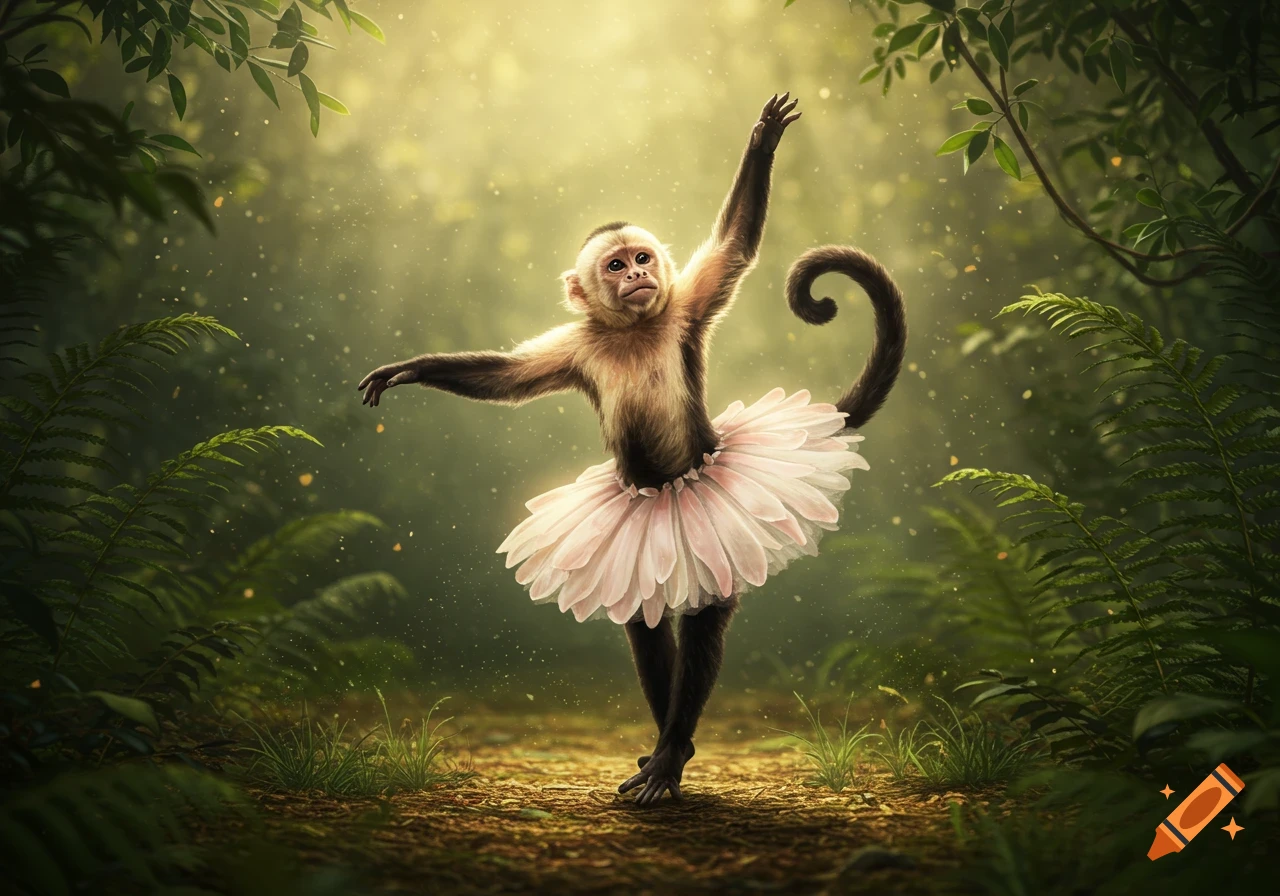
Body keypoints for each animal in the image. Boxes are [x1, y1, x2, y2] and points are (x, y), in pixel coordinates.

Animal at [358, 94, 906, 807]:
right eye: (616, 266)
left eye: (643, 259)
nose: (640, 277)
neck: (636, 328)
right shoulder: (578, 345)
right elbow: (505, 380)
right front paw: (413, 370)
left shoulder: (683, 309)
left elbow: (733, 248)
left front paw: (762, 141)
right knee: (646, 626)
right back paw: (668, 747)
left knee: (701, 619)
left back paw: (672, 752)